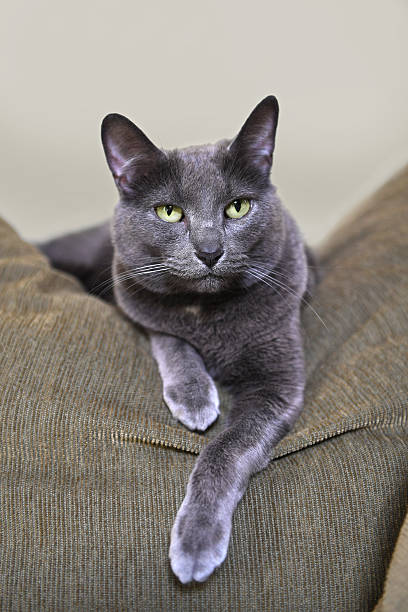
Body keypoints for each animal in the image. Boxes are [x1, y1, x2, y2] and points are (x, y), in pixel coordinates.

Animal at [40, 95, 318, 584]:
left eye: (237, 207)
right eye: (168, 212)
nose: (209, 251)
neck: (206, 310)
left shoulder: (277, 382)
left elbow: (227, 450)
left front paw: (196, 543)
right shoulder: (135, 302)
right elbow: (171, 339)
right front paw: (194, 398)